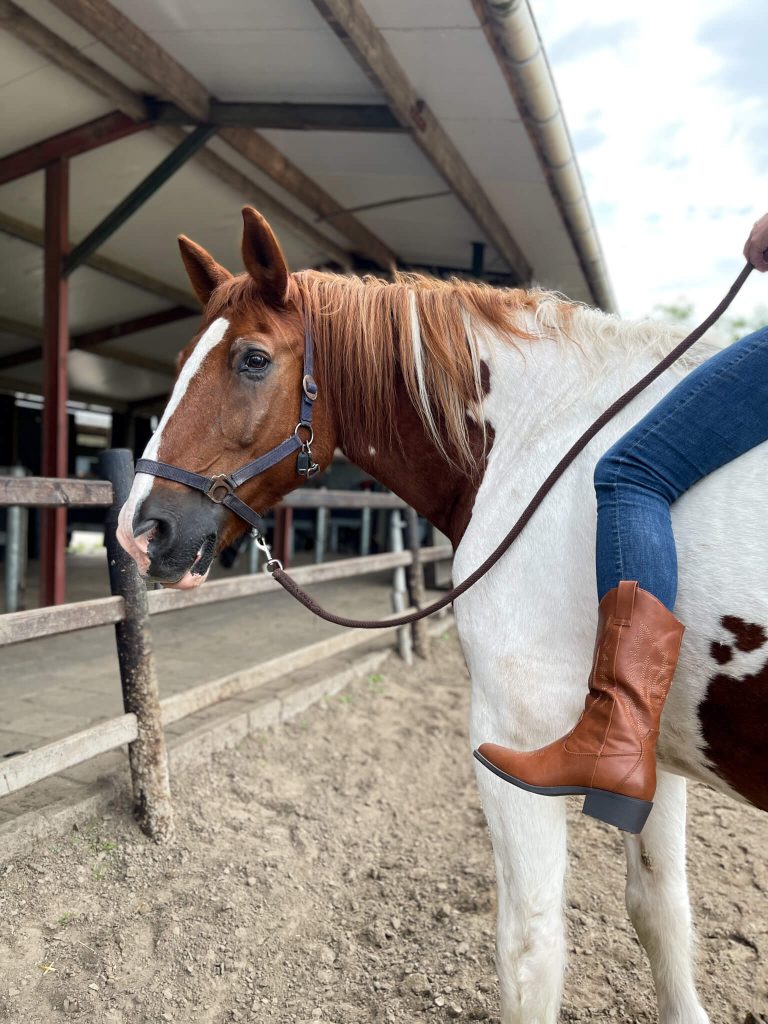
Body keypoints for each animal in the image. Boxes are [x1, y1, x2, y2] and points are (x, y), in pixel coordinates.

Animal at [115, 207, 768, 1024]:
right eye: (179, 360)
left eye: (253, 360)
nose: (139, 531)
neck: (542, 443)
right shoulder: (656, 756)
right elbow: (661, 913)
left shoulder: (516, 744)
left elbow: (529, 956)